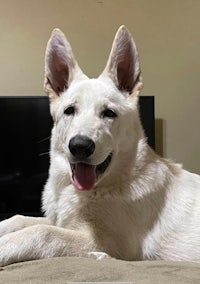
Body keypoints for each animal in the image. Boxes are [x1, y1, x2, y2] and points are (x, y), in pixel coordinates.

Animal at [0, 26, 200, 266]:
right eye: (69, 110)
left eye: (109, 113)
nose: (80, 146)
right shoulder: (61, 221)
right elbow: (20, 218)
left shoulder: (110, 244)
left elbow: (42, 232)